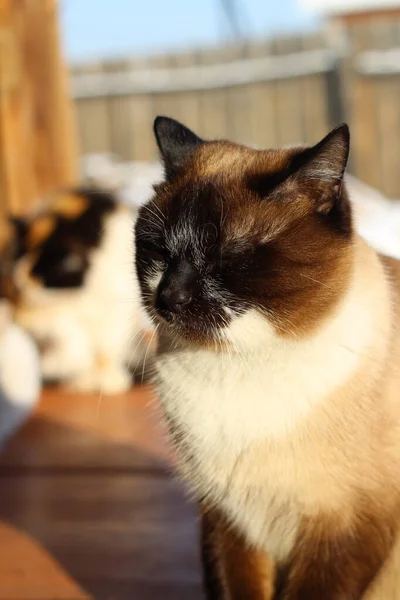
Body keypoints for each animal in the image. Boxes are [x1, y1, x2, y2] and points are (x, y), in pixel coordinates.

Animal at [13, 188, 150, 394]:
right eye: (21, 256)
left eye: (54, 263)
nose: (21, 279)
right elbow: (74, 345)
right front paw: (82, 382)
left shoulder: (114, 315)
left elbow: (104, 352)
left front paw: (109, 382)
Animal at [135, 115, 400, 596]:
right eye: (159, 251)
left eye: (228, 257)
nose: (169, 296)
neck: (238, 363)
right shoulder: (227, 518)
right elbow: (237, 586)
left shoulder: (346, 526)